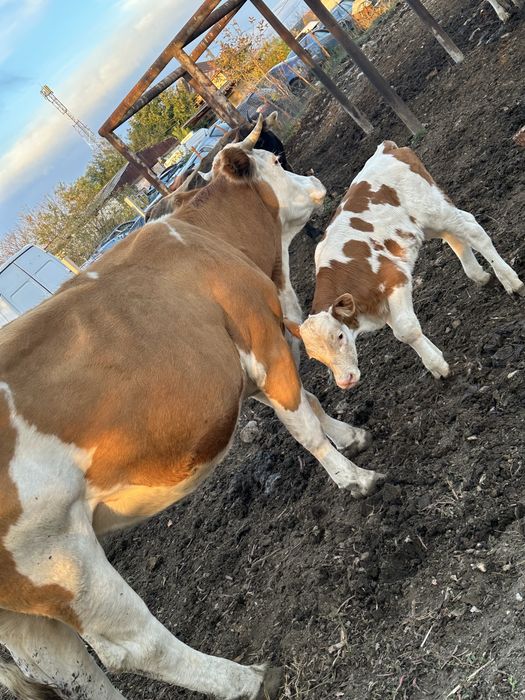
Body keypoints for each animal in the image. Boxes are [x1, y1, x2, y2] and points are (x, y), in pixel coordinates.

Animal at [0, 118, 384, 700]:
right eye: (275, 163)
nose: (316, 180)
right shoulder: (262, 339)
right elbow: (303, 424)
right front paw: (352, 476)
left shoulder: (249, 357)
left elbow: (310, 404)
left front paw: (348, 434)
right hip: (62, 560)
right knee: (131, 647)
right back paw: (246, 678)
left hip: (21, 604)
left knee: (63, 667)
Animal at [284, 140, 523, 389]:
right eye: (316, 357)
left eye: (339, 336)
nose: (345, 381)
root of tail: (386, 149)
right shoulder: (378, 304)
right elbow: (401, 333)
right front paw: (436, 358)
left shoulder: (395, 279)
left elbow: (407, 330)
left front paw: (438, 366)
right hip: (426, 225)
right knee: (455, 235)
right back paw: (480, 275)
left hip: (435, 209)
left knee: (473, 230)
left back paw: (510, 281)